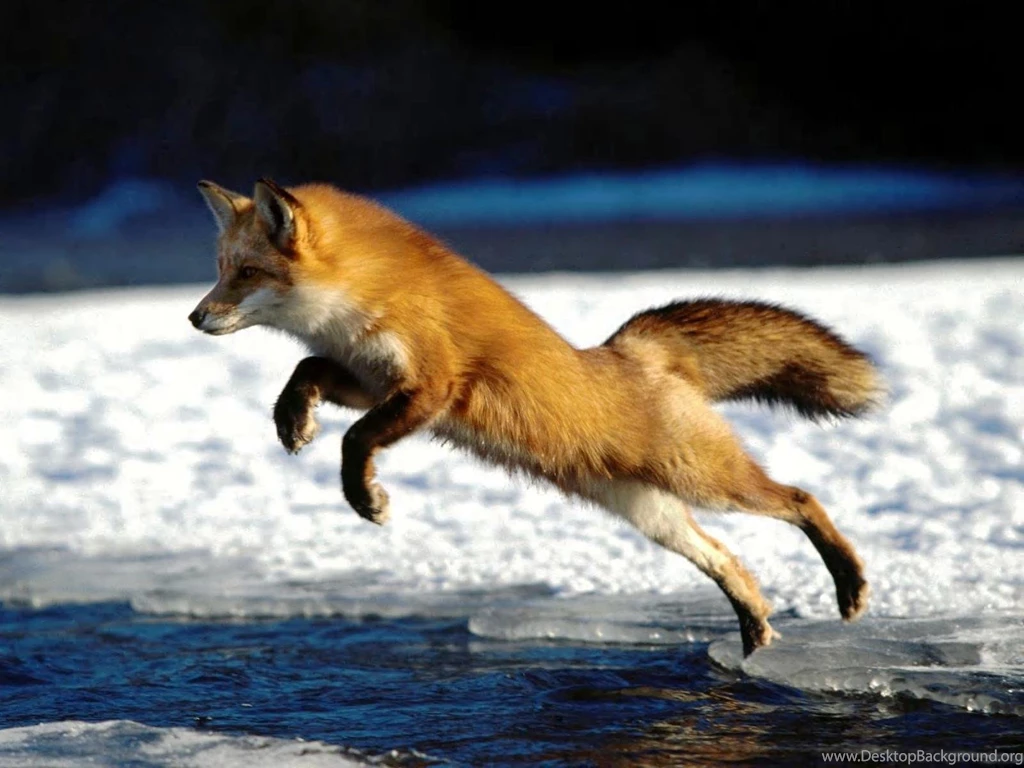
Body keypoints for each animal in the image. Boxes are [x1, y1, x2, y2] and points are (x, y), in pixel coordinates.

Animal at [189, 177, 880, 656]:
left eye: (247, 273)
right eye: (220, 269)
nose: (194, 317)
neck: (361, 299)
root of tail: (633, 351)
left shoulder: (432, 385)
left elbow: (356, 441)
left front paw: (366, 499)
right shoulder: (367, 378)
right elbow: (304, 370)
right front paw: (292, 421)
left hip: (706, 480)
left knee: (802, 499)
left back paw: (848, 585)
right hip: (652, 513)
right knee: (729, 562)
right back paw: (755, 632)